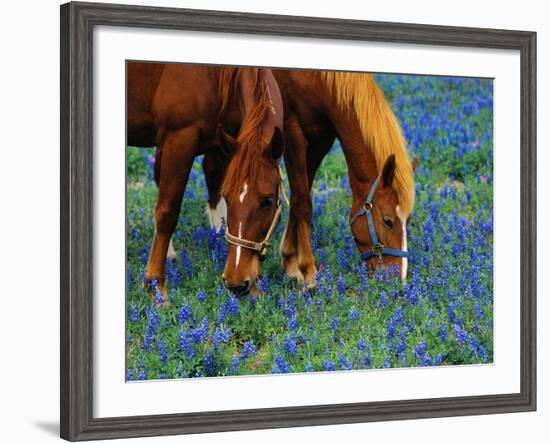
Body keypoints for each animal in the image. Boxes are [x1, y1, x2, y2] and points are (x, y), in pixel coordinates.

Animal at [128, 64, 284, 302]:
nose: (236, 283)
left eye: (267, 201)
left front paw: (256, 288)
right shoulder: (179, 139)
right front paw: (156, 287)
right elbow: (167, 211)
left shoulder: (228, 143)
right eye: (229, 198)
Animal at [205, 68, 416, 284]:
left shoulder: (321, 137)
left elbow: (302, 194)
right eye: (388, 221)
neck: (319, 78)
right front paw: (308, 270)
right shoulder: (292, 131)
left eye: (408, 220)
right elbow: (302, 201)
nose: (398, 279)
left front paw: (290, 260)